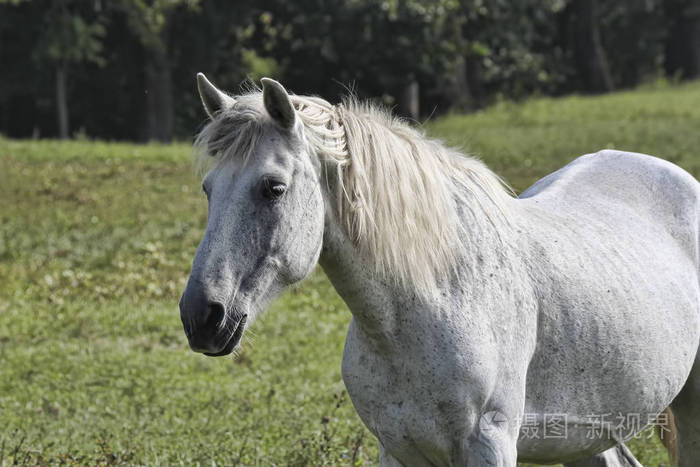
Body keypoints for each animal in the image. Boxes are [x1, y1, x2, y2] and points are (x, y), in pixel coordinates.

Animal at [179, 73, 700, 466]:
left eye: (273, 188)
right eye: (208, 189)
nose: (201, 316)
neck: (438, 300)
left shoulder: (489, 446)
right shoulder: (399, 450)